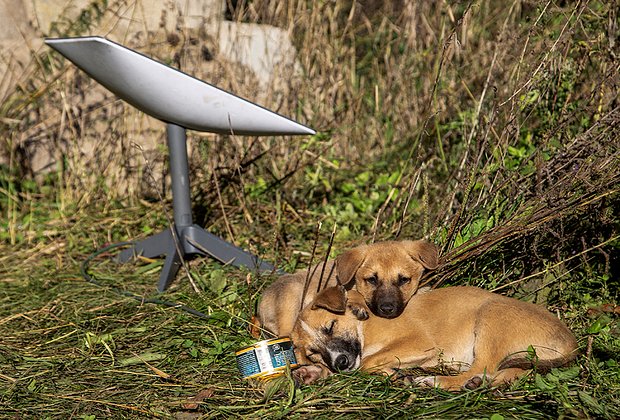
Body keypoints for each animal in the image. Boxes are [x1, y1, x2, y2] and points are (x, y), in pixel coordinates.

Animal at [288, 284, 580, 388]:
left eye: (330, 327)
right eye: (313, 353)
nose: (340, 362)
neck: (365, 328)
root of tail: (571, 341)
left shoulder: (420, 343)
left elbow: (368, 363)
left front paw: (394, 374)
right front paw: (311, 373)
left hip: (490, 314)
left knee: (482, 367)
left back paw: (437, 381)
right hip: (519, 356)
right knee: (508, 372)